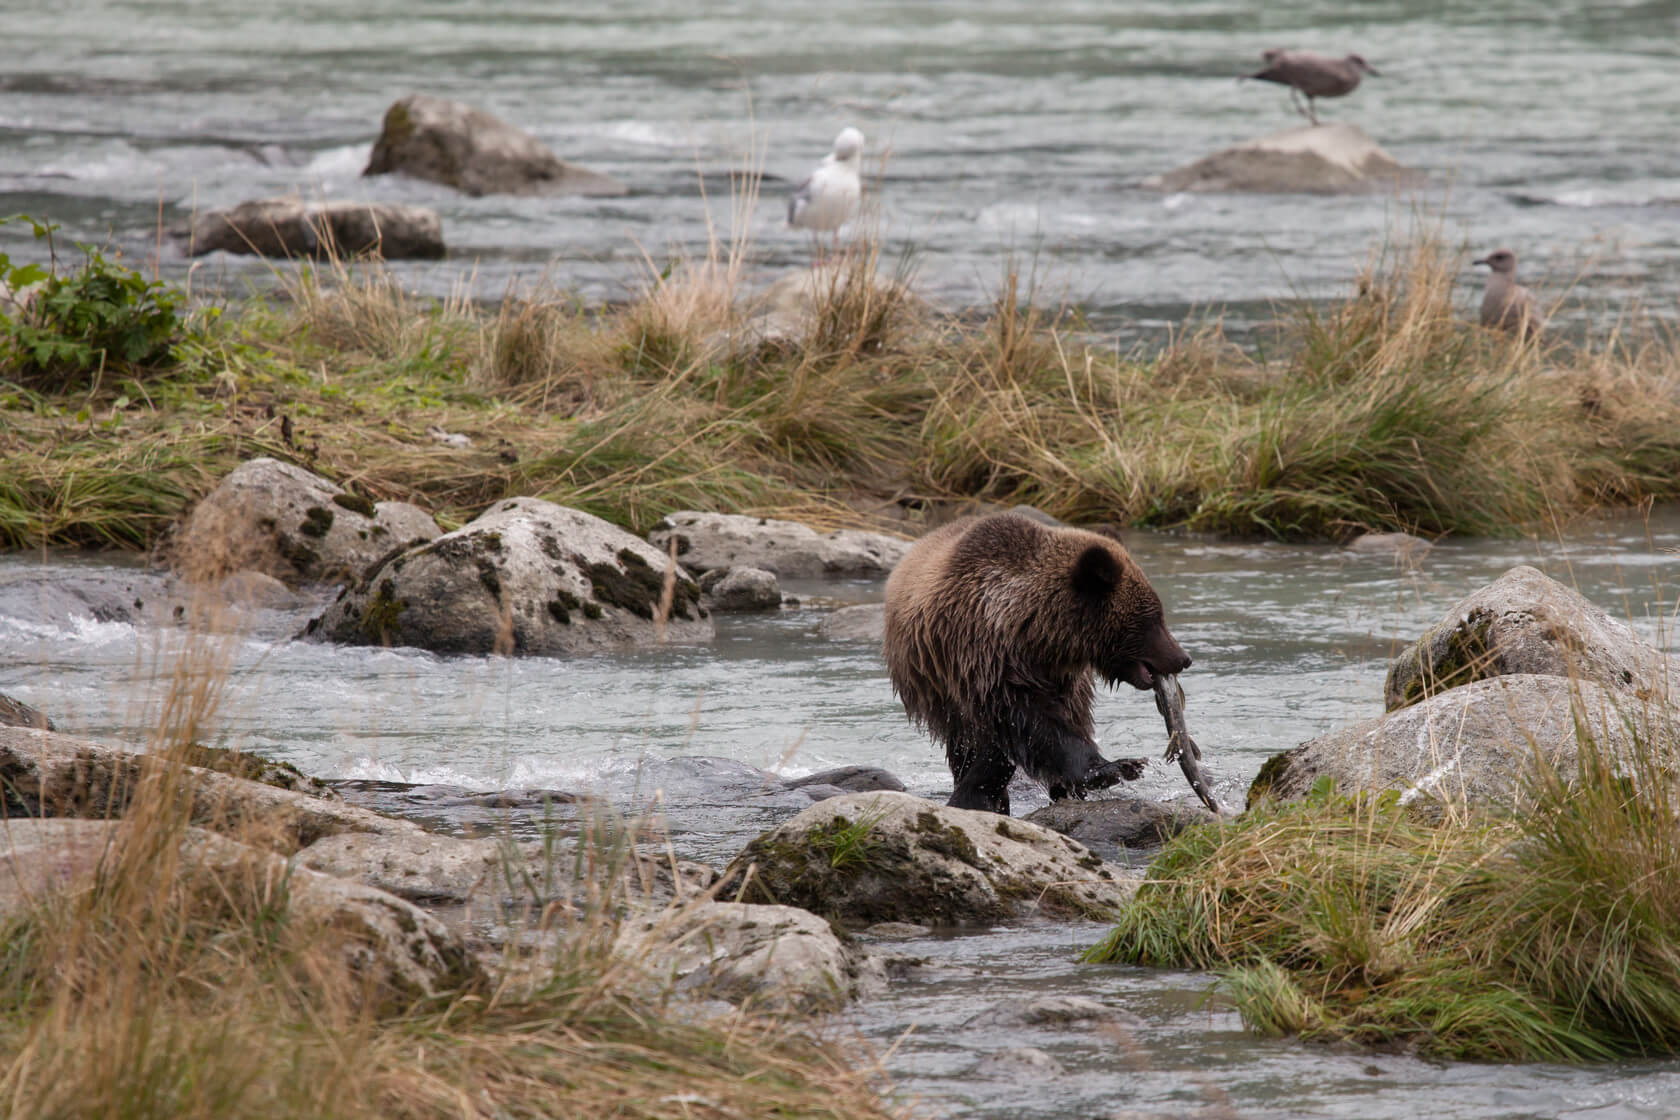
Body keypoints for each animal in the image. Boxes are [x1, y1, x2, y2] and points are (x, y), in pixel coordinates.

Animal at [882, 512, 1192, 815]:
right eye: (1153, 619)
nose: (1182, 658)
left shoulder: (1062, 677)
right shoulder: (986, 660)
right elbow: (1033, 723)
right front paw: (1114, 768)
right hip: (935, 689)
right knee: (962, 742)